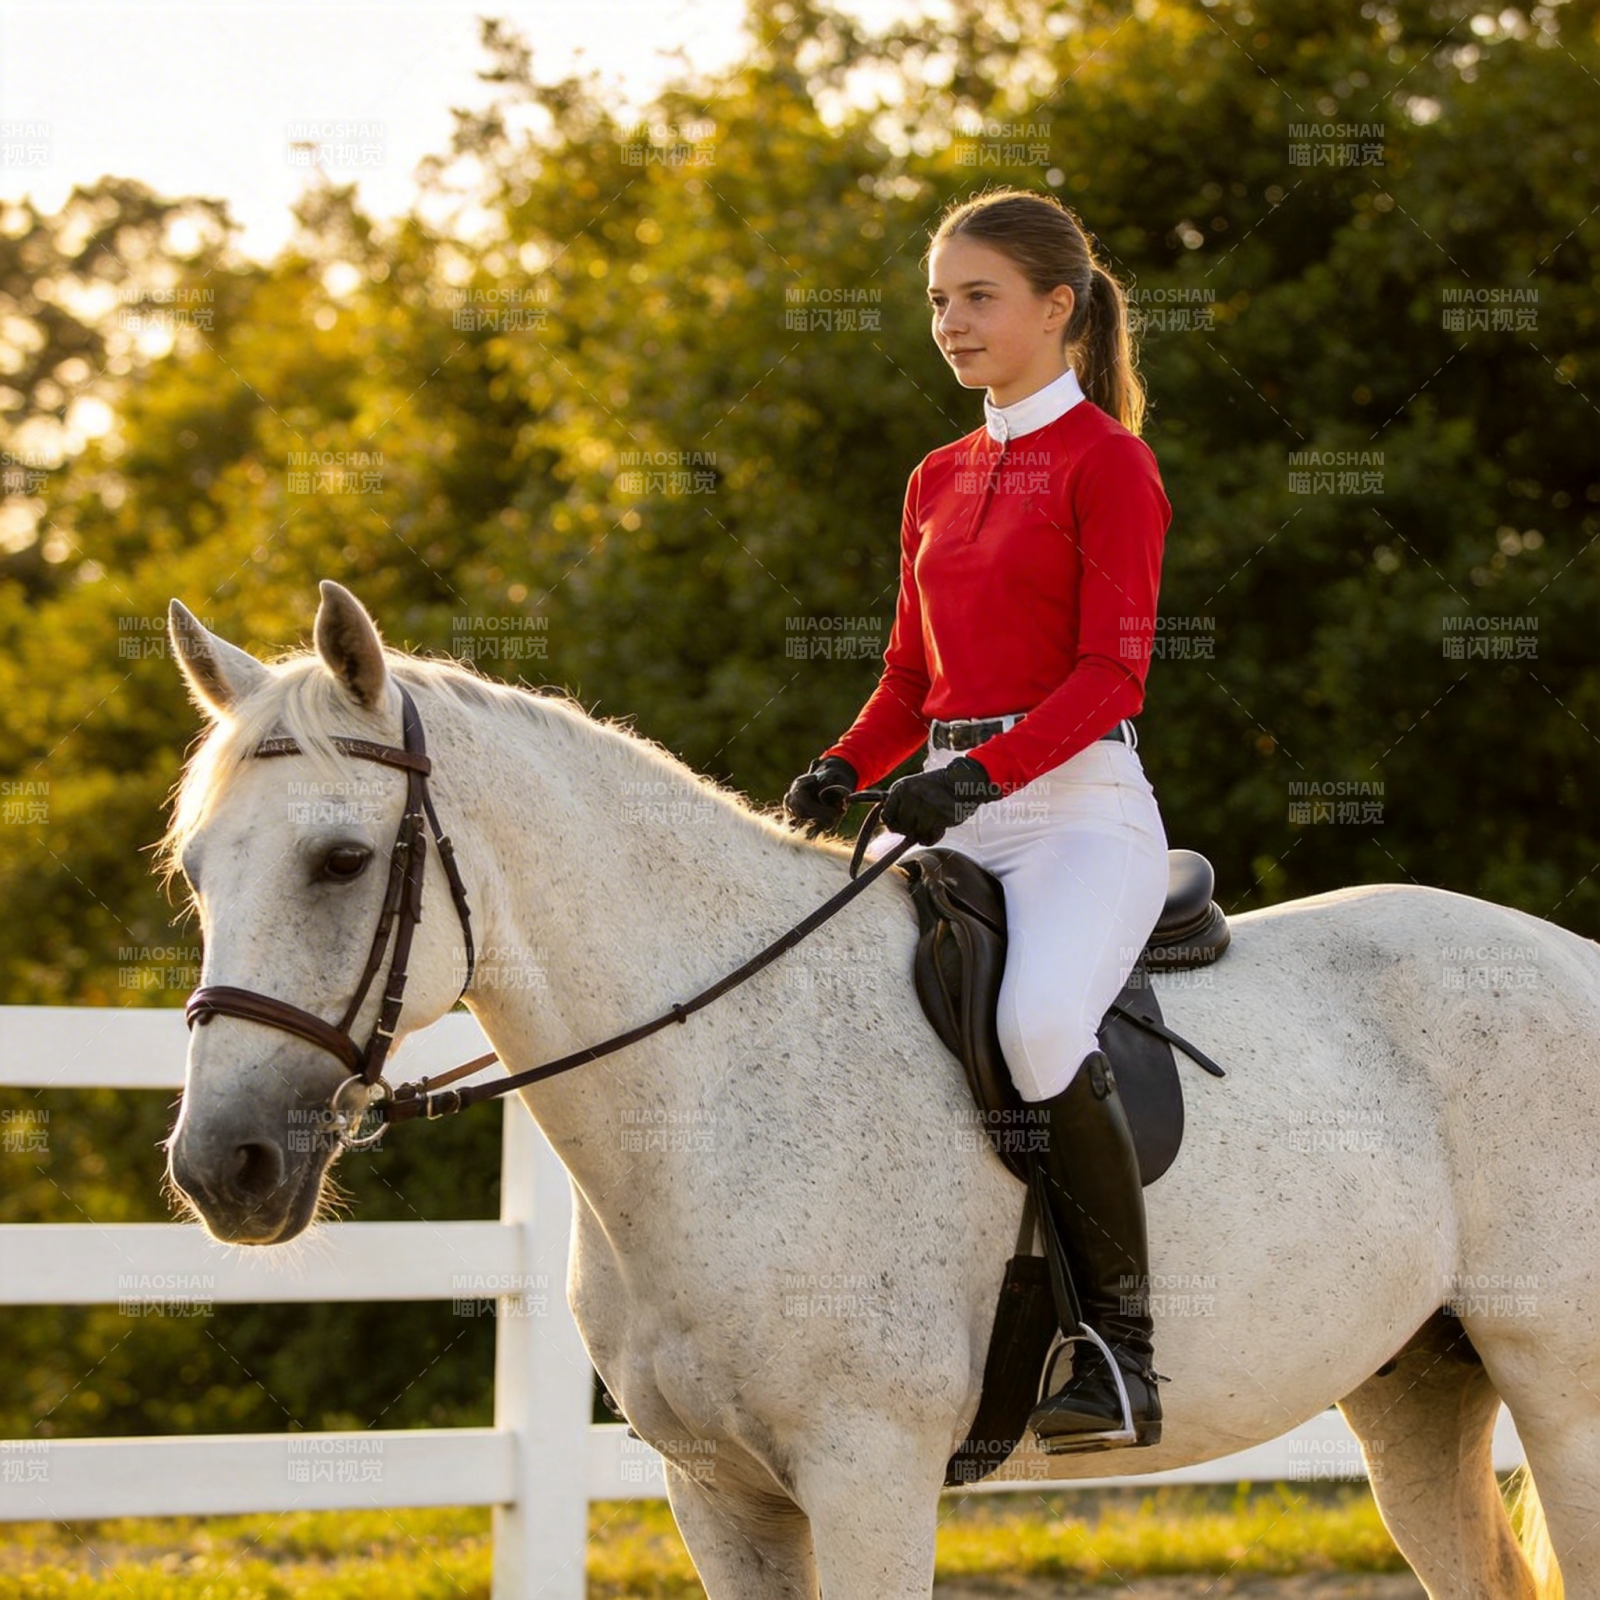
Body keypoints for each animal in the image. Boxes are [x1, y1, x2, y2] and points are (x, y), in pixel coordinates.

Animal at [161, 581, 1593, 1599]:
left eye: (342, 861)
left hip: (1562, 1388)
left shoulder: (869, 1478)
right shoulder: (719, 1496)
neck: (708, 1096)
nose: (221, 1168)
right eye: (197, 868)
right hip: (1415, 1388)